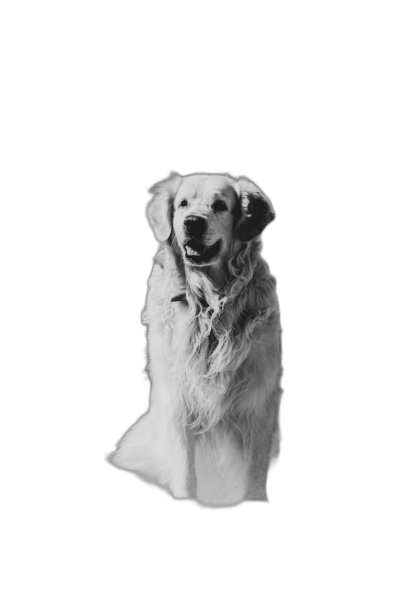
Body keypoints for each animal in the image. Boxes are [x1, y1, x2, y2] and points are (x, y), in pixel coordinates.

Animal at [109, 172, 282, 506]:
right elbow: (186, 469)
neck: (209, 304)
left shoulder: (259, 400)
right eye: (183, 204)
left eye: (220, 205)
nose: (192, 223)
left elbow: (254, 470)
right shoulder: (178, 398)